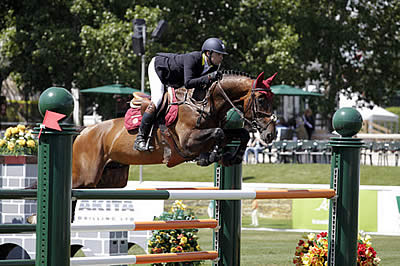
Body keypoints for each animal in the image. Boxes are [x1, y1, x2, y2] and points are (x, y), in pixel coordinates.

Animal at [72, 70, 276, 187]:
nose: (270, 135)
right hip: (84, 178)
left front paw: (232, 157)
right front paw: (211, 156)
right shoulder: (187, 143)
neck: (203, 103)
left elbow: (241, 133)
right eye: (261, 99)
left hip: (110, 178)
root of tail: (85, 131)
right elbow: (218, 133)